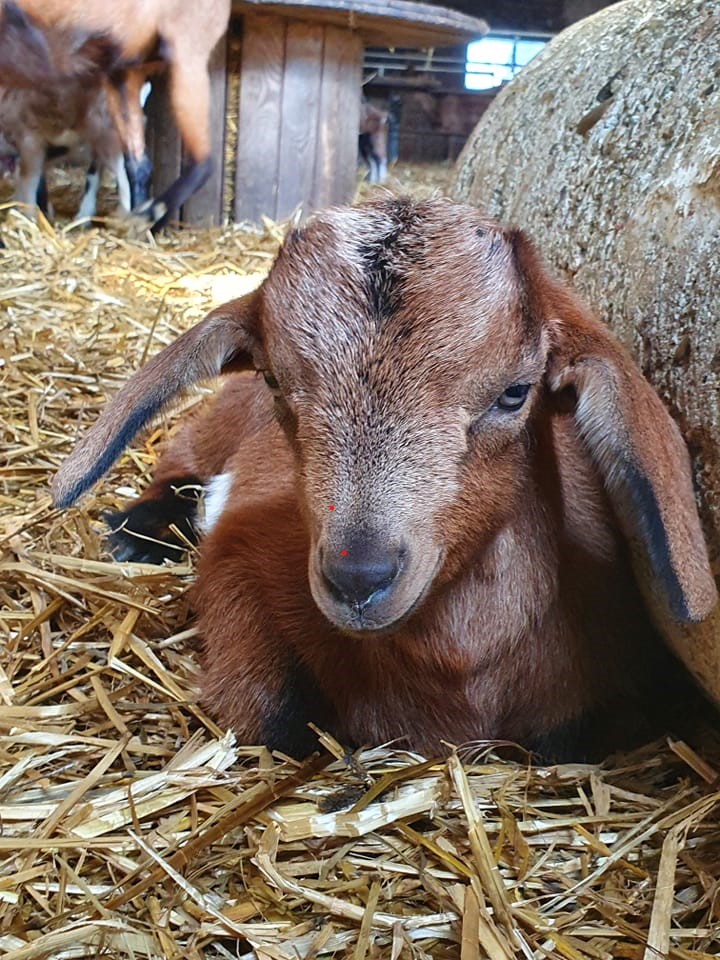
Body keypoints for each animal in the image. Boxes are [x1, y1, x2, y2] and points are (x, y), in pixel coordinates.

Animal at [0, 0, 229, 227]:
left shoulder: (31, 137)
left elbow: (30, 179)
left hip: (181, 56)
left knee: (201, 161)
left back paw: (144, 216)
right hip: (126, 76)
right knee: (137, 165)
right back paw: (135, 219)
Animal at [52, 199, 720, 760]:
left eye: (515, 392)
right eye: (274, 379)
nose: (358, 577)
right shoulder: (239, 557)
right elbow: (271, 716)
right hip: (222, 417)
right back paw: (139, 527)